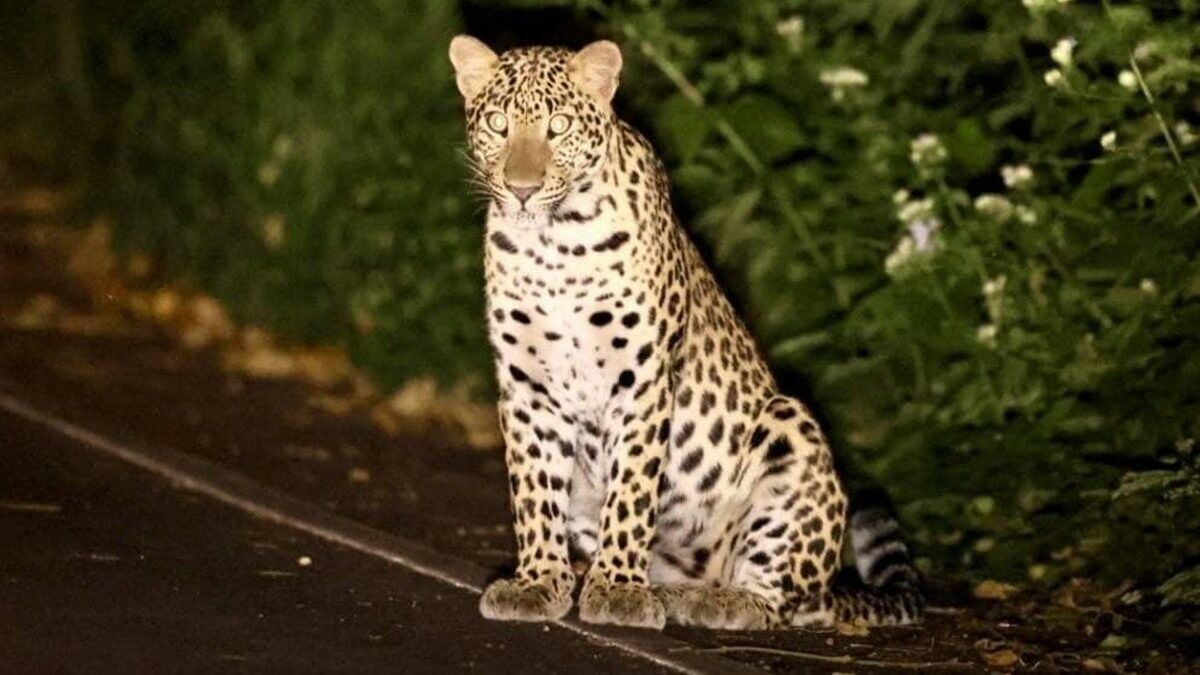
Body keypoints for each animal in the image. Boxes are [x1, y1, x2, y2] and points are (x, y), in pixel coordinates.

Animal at [451, 34, 926, 629]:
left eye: (558, 126)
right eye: (498, 123)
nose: (521, 189)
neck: (553, 244)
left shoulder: (642, 380)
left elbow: (632, 492)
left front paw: (618, 590)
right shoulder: (528, 389)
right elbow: (535, 493)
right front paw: (539, 580)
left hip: (789, 430)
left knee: (783, 599)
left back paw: (725, 601)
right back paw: (665, 590)